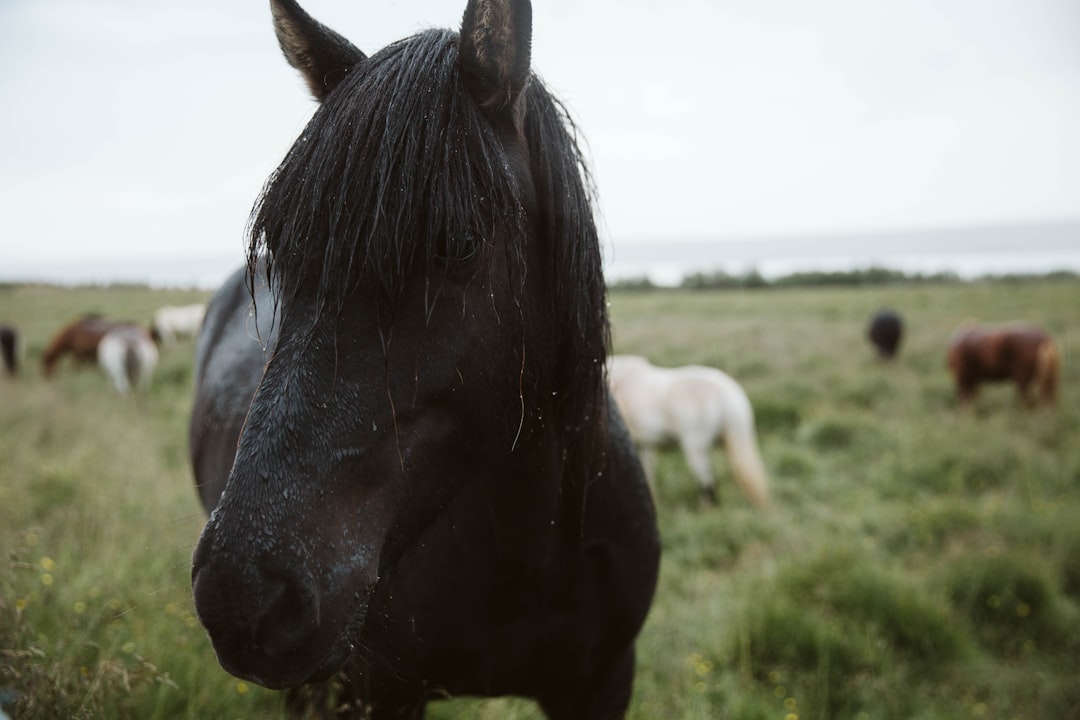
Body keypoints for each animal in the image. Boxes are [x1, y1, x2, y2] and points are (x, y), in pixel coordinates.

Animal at [187, 1, 656, 720]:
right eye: (281, 250)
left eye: (459, 245)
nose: (242, 594)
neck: (529, 555)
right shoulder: (380, 694)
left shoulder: (603, 682)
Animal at [609, 354, 768, 507]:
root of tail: (728, 396)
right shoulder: (645, 444)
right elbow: (647, 471)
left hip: (696, 447)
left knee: (707, 479)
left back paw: (706, 508)